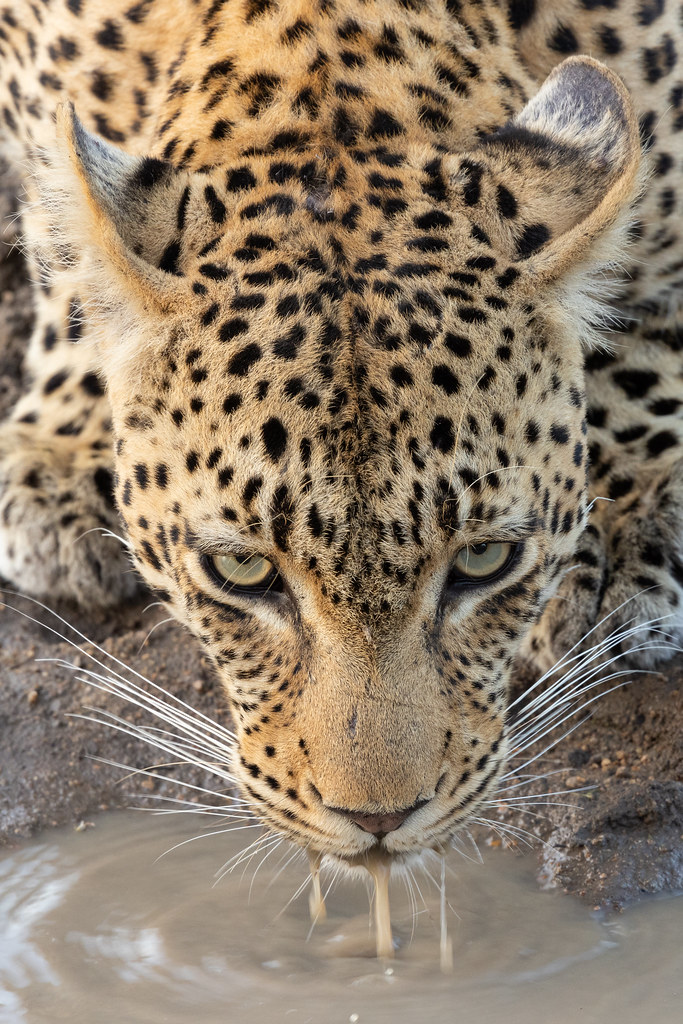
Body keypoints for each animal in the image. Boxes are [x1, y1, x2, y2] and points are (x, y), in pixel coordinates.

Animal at [0, 0, 681, 865]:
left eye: (484, 561)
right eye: (242, 572)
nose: (379, 823)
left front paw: (625, 529)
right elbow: (58, 240)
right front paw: (62, 441)